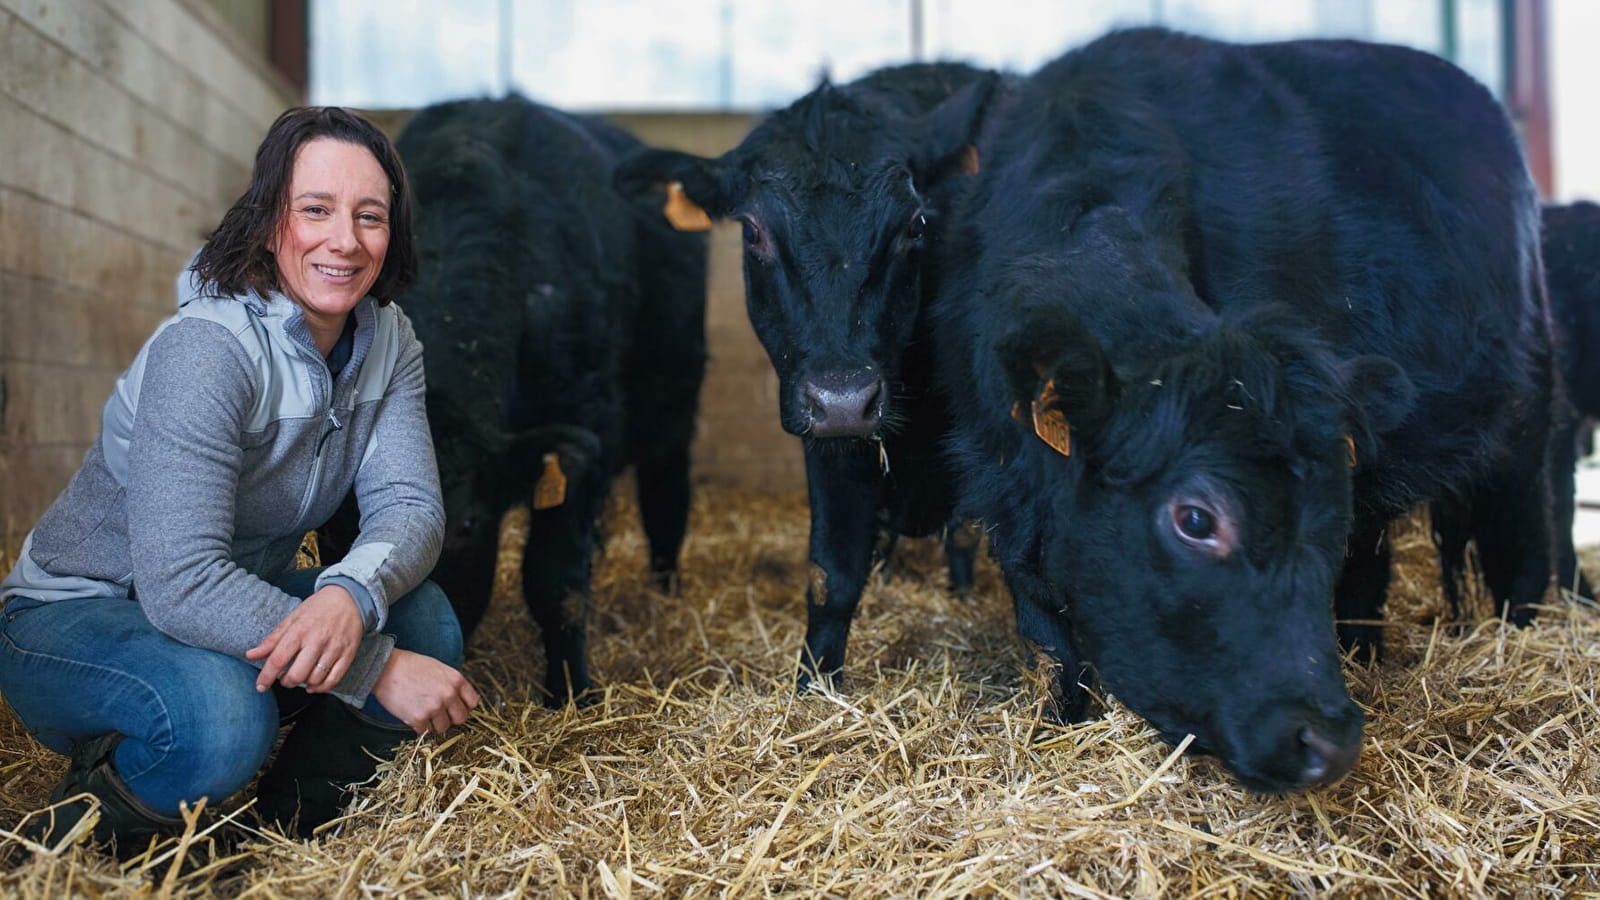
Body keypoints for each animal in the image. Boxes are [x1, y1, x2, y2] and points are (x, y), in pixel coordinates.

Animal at [340, 94, 710, 704]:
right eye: (334, 526)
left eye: (465, 527)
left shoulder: (582, 426)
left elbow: (556, 580)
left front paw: (570, 690)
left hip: (673, 401)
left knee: (666, 498)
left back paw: (665, 594)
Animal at [614, 61, 998, 679]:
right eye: (752, 231)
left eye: (915, 224)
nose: (843, 399)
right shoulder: (833, 446)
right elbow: (831, 575)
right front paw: (815, 685)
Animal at [934, 28, 1555, 787]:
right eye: (1196, 520)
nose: (1328, 739)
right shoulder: (1003, 490)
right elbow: (1055, 645)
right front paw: (1060, 721)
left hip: (1525, 422)